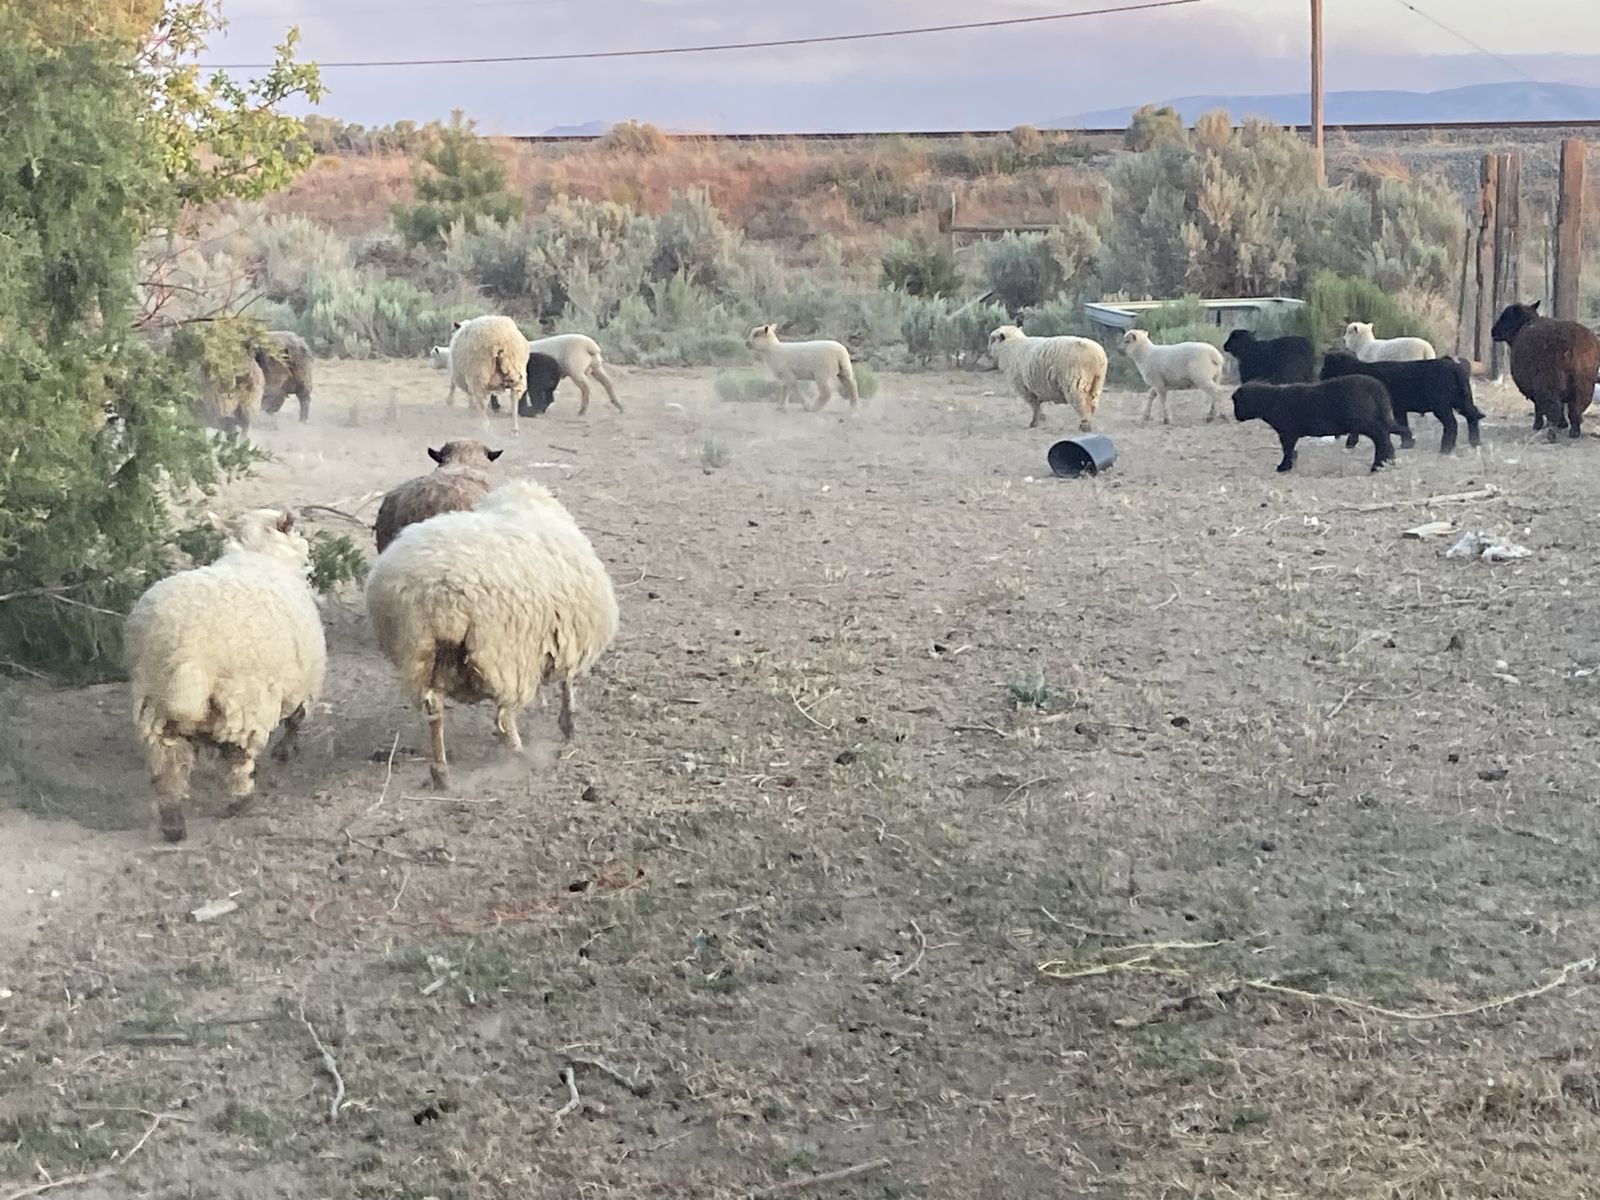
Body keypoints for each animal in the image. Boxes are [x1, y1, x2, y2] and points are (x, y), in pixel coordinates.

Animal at [124, 507, 326, 842]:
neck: (258, 554)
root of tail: (187, 649)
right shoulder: (306, 683)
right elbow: (297, 719)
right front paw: (286, 751)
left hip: (155, 705)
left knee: (169, 764)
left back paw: (173, 824)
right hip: (245, 702)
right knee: (238, 756)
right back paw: (240, 800)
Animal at [365, 478, 619, 788]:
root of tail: (431, 594)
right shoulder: (569, 635)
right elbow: (567, 682)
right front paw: (568, 722)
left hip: (421, 651)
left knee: (433, 705)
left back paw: (441, 773)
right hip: (505, 652)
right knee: (505, 713)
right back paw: (518, 751)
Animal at [1232, 377, 1407, 473]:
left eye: (1236, 402)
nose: (1236, 416)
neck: (1271, 401)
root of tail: (1378, 386)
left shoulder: (1287, 433)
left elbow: (1287, 450)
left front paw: (1284, 467)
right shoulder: (1289, 434)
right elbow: (1291, 450)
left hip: (1365, 422)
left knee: (1382, 437)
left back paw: (1377, 465)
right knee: (1390, 435)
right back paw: (1389, 460)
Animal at [1319, 351, 1484, 454]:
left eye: (1326, 366)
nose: (1319, 376)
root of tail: (1453, 366)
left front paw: (1350, 443)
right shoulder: (1399, 408)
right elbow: (1403, 423)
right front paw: (1407, 444)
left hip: (1442, 406)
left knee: (1452, 424)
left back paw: (1446, 449)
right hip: (1461, 401)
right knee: (1472, 417)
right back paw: (1475, 442)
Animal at [1490, 301, 1600, 439]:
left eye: (1506, 316)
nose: (1493, 331)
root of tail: (1572, 345)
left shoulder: (1534, 386)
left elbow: (1538, 406)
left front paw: (1538, 425)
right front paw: (1563, 424)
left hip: (1549, 381)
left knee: (1554, 408)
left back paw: (1551, 434)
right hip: (1584, 383)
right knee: (1576, 408)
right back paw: (1574, 432)